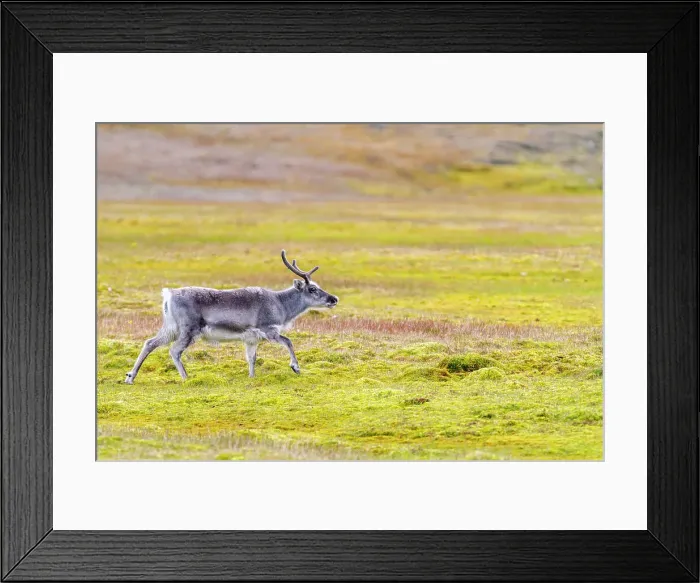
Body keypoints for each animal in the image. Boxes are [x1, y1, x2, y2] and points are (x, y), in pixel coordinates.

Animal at [124, 250, 339, 383]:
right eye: (313, 289)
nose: (334, 299)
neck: (282, 304)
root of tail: (169, 294)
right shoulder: (269, 329)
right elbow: (288, 341)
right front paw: (296, 367)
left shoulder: (251, 339)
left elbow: (252, 358)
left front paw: (252, 377)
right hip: (189, 329)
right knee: (174, 350)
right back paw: (186, 377)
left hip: (171, 328)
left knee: (150, 343)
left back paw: (130, 376)